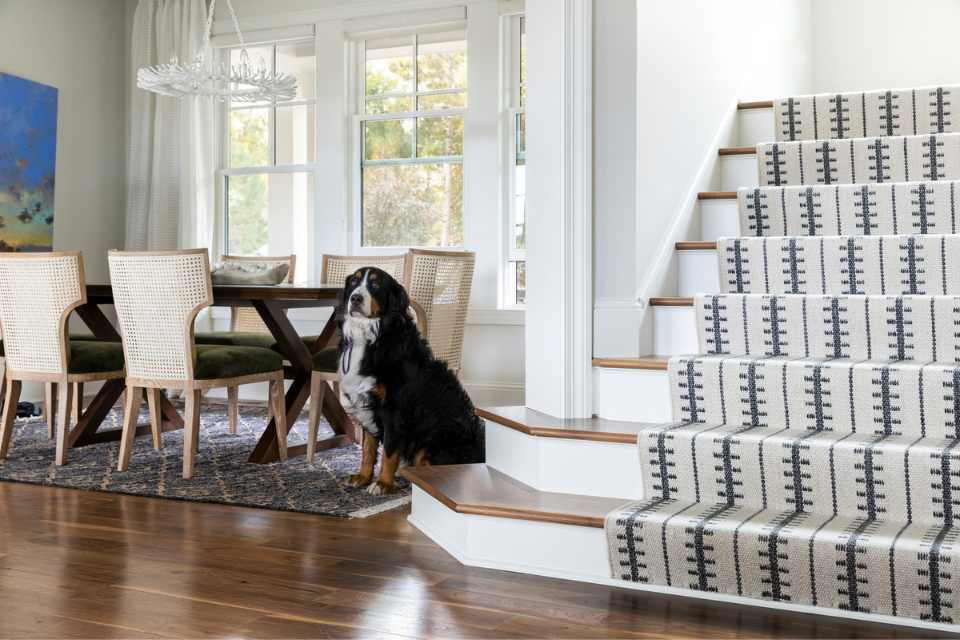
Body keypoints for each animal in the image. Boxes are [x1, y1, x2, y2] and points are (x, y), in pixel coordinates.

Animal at [340, 264, 488, 496]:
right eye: (354, 281)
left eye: (375, 284)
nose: (355, 298)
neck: (374, 335)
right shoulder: (367, 404)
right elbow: (368, 450)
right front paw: (363, 478)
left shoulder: (394, 411)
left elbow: (388, 453)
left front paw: (382, 483)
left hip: (432, 443)